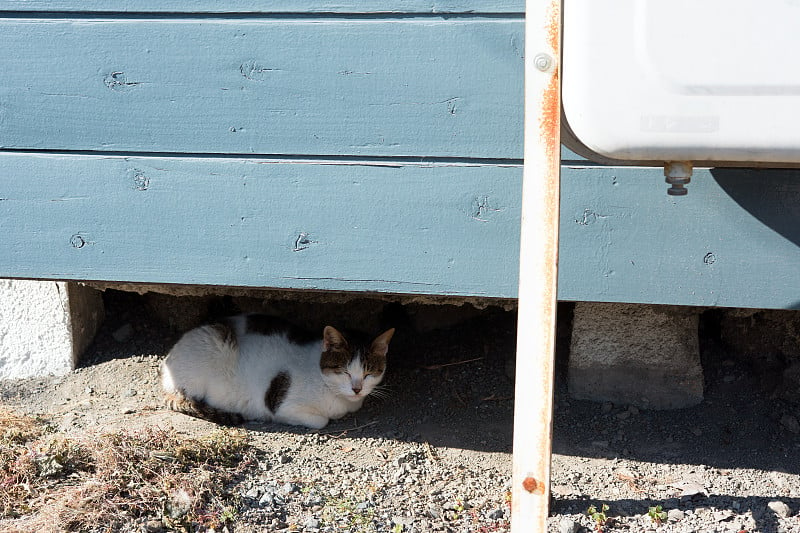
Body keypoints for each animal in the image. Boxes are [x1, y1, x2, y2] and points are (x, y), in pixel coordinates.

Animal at [160, 314, 394, 430]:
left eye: (369, 373)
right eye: (344, 371)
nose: (357, 389)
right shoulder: (283, 405)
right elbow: (321, 421)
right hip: (214, 343)